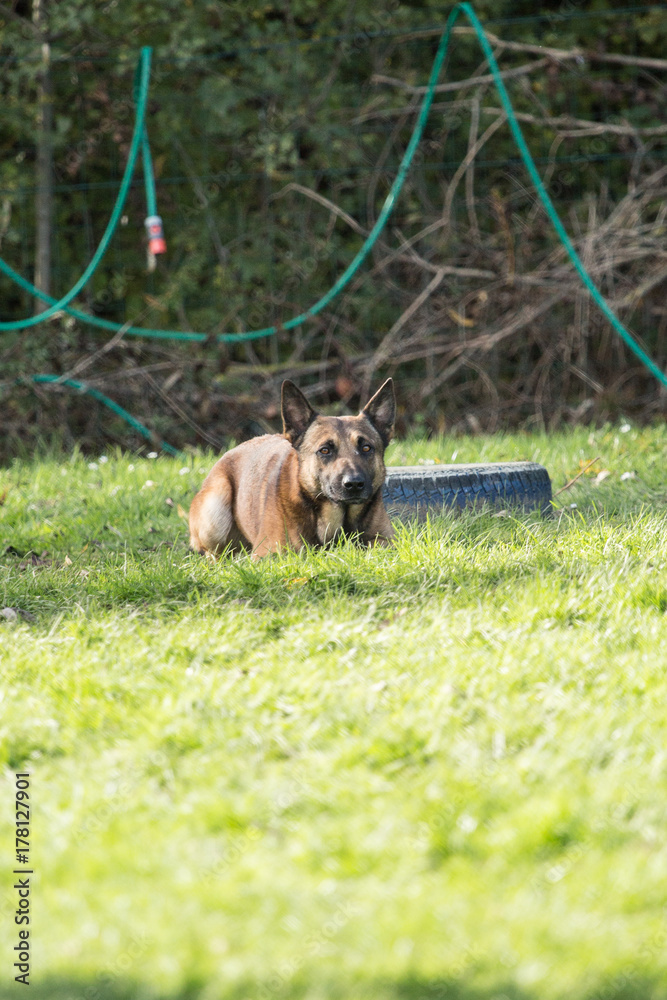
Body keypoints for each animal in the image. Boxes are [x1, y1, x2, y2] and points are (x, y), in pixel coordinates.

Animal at [189, 378, 396, 560]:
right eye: (325, 450)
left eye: (366, 448)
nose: (353, 484)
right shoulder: (268, 554)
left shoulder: (386, 543)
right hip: (216, 511)